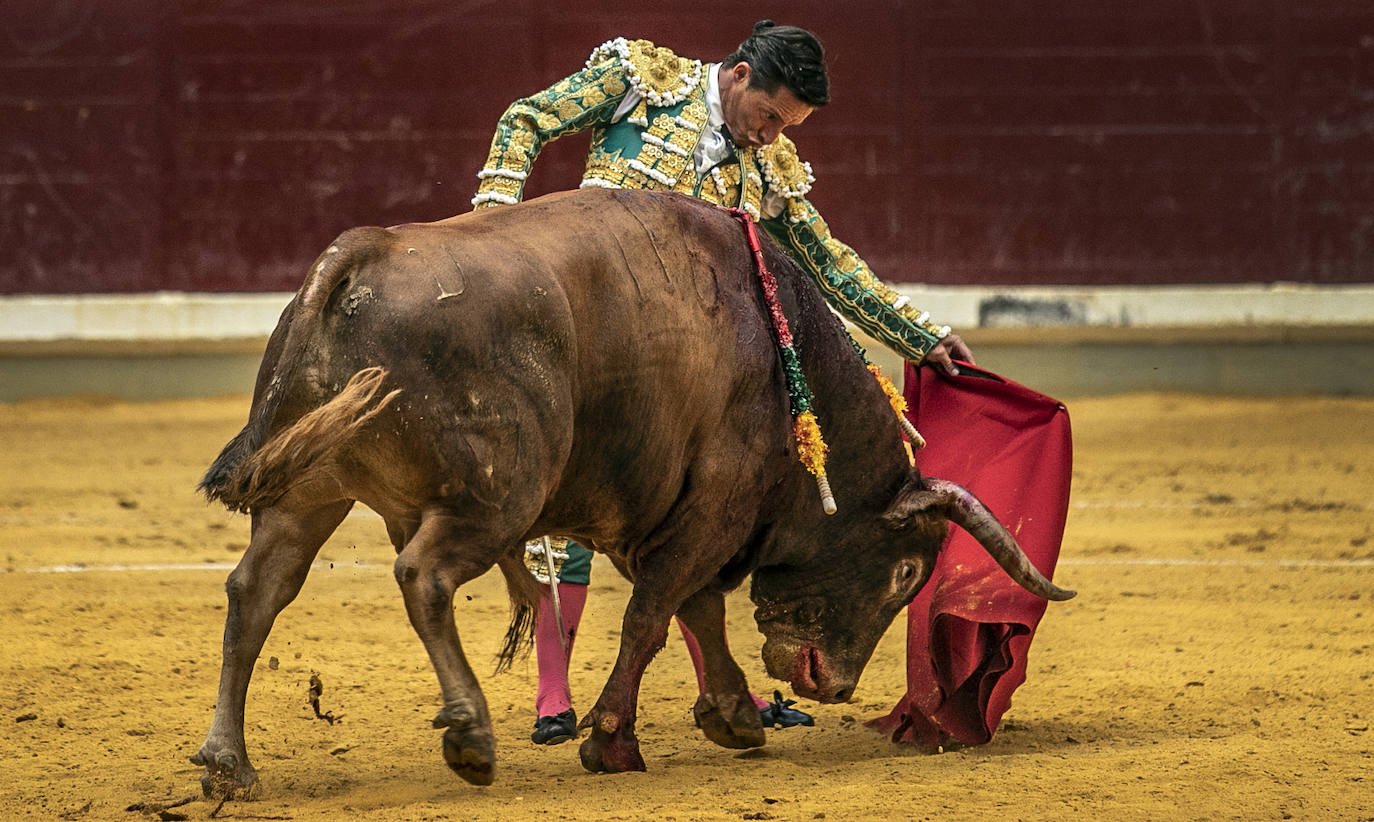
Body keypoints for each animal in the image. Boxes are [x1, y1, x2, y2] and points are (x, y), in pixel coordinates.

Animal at [193, 188, 1071, 797]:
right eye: (906, 574)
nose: (837, 685)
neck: (784, 359)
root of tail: (364, 251)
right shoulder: (711, 507)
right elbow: (652, 616)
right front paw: (611, 740)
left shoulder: (676, 515)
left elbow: (696, 611)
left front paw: (735, 717)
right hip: (496, 498)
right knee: (423, 576)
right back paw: (472, 737)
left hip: (310, 491)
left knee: (256, 592)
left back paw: (228, 763)